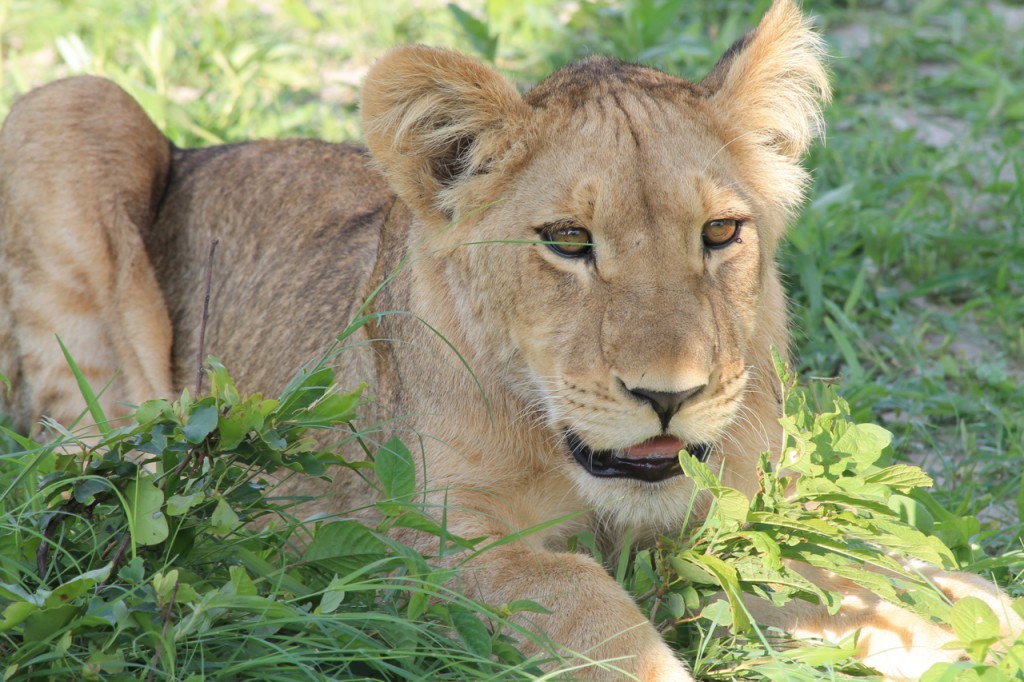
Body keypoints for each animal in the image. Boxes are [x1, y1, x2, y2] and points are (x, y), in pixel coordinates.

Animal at [0, 2, 1019, 675]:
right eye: (567, 241)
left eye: (721, 233)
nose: (670, 396)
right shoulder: (439, 550)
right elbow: (590, 612)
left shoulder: (724, 515)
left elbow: (855, 564)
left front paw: (970, 614)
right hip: (73, 108)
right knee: (85, 460)